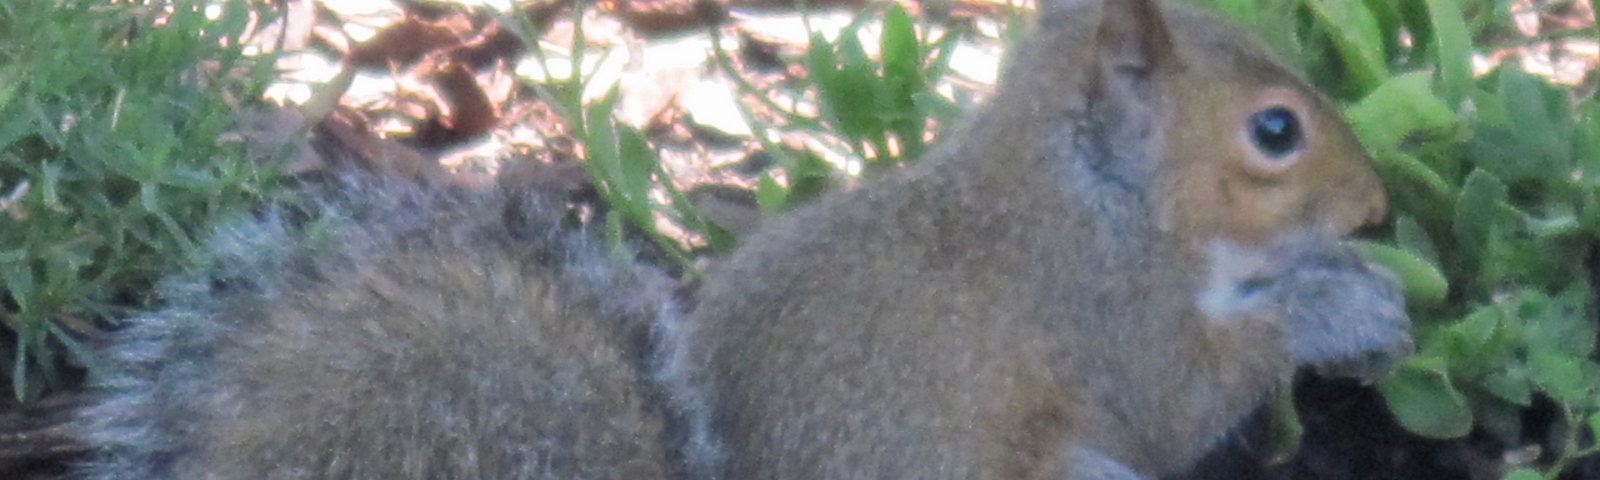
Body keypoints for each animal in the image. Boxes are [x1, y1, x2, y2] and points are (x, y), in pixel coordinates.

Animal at [688, 0, 1414, 480]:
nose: (1373, 206)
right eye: (1275, 131)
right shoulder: (1107, 313)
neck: (1096, 198)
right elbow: (1177, 405)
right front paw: (1337, 310)